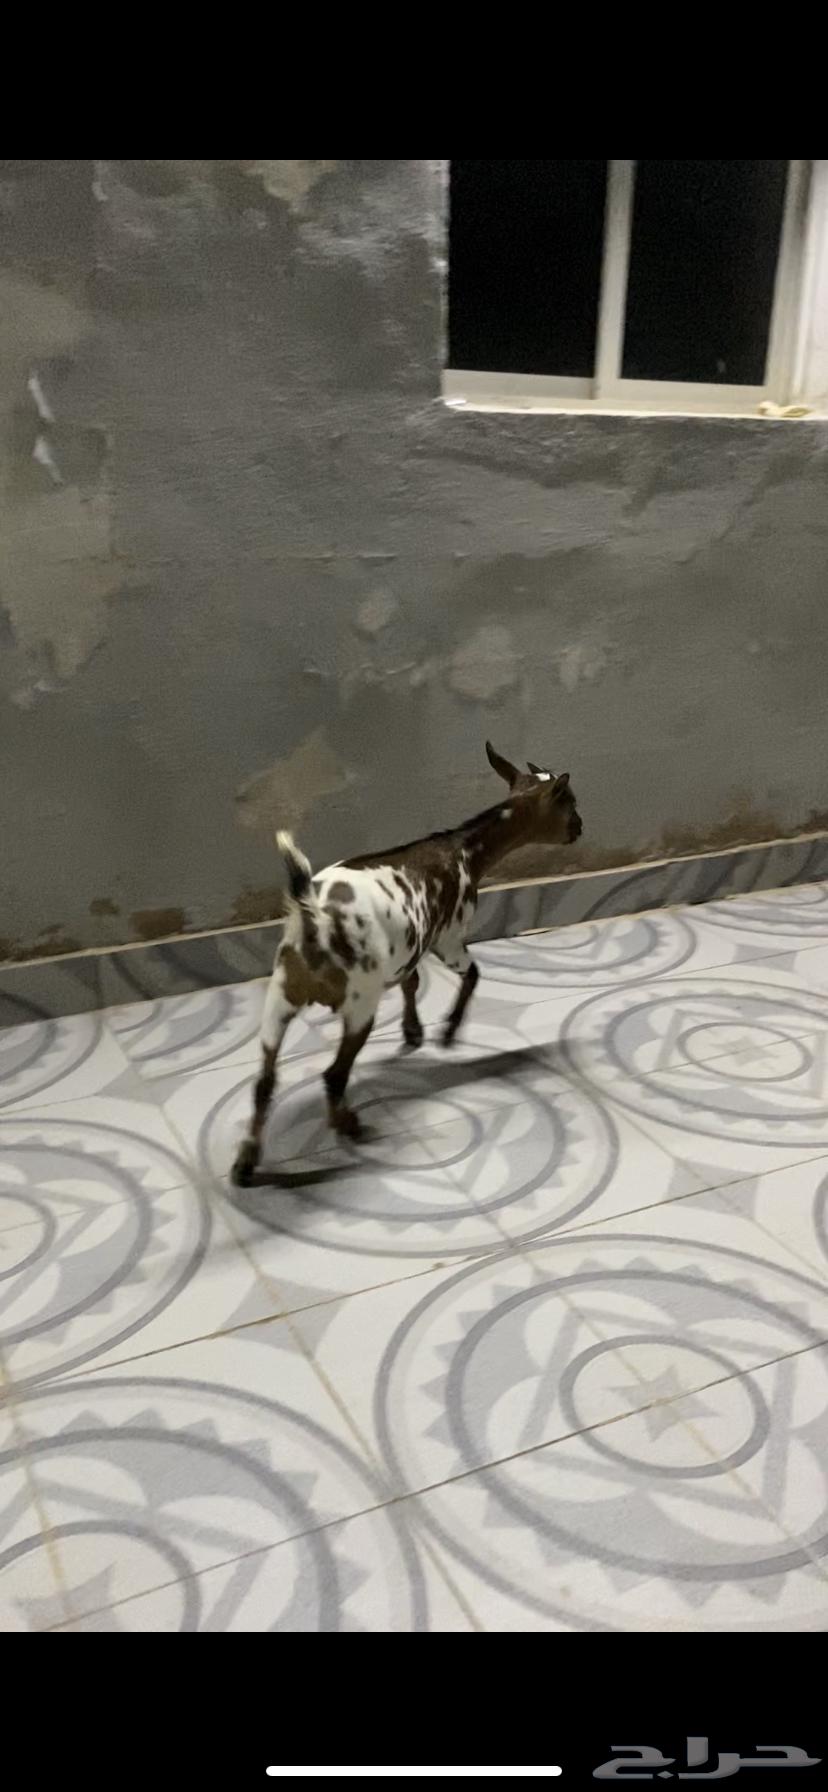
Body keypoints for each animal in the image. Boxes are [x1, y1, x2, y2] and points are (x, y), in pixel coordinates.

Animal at [231, 740, 582, 1186]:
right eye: (570, 802)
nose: (581, 828)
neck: (465, 851)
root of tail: (314, 917)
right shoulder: (449, 936)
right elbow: (473, 974)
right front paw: (447, 1032)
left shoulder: (409, 947)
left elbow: (411, 983)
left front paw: (414, 1031)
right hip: (359, 999)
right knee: (334, 1074)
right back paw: (349, 1125)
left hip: (281, 993)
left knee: (265, 1081)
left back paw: (245, 1163)